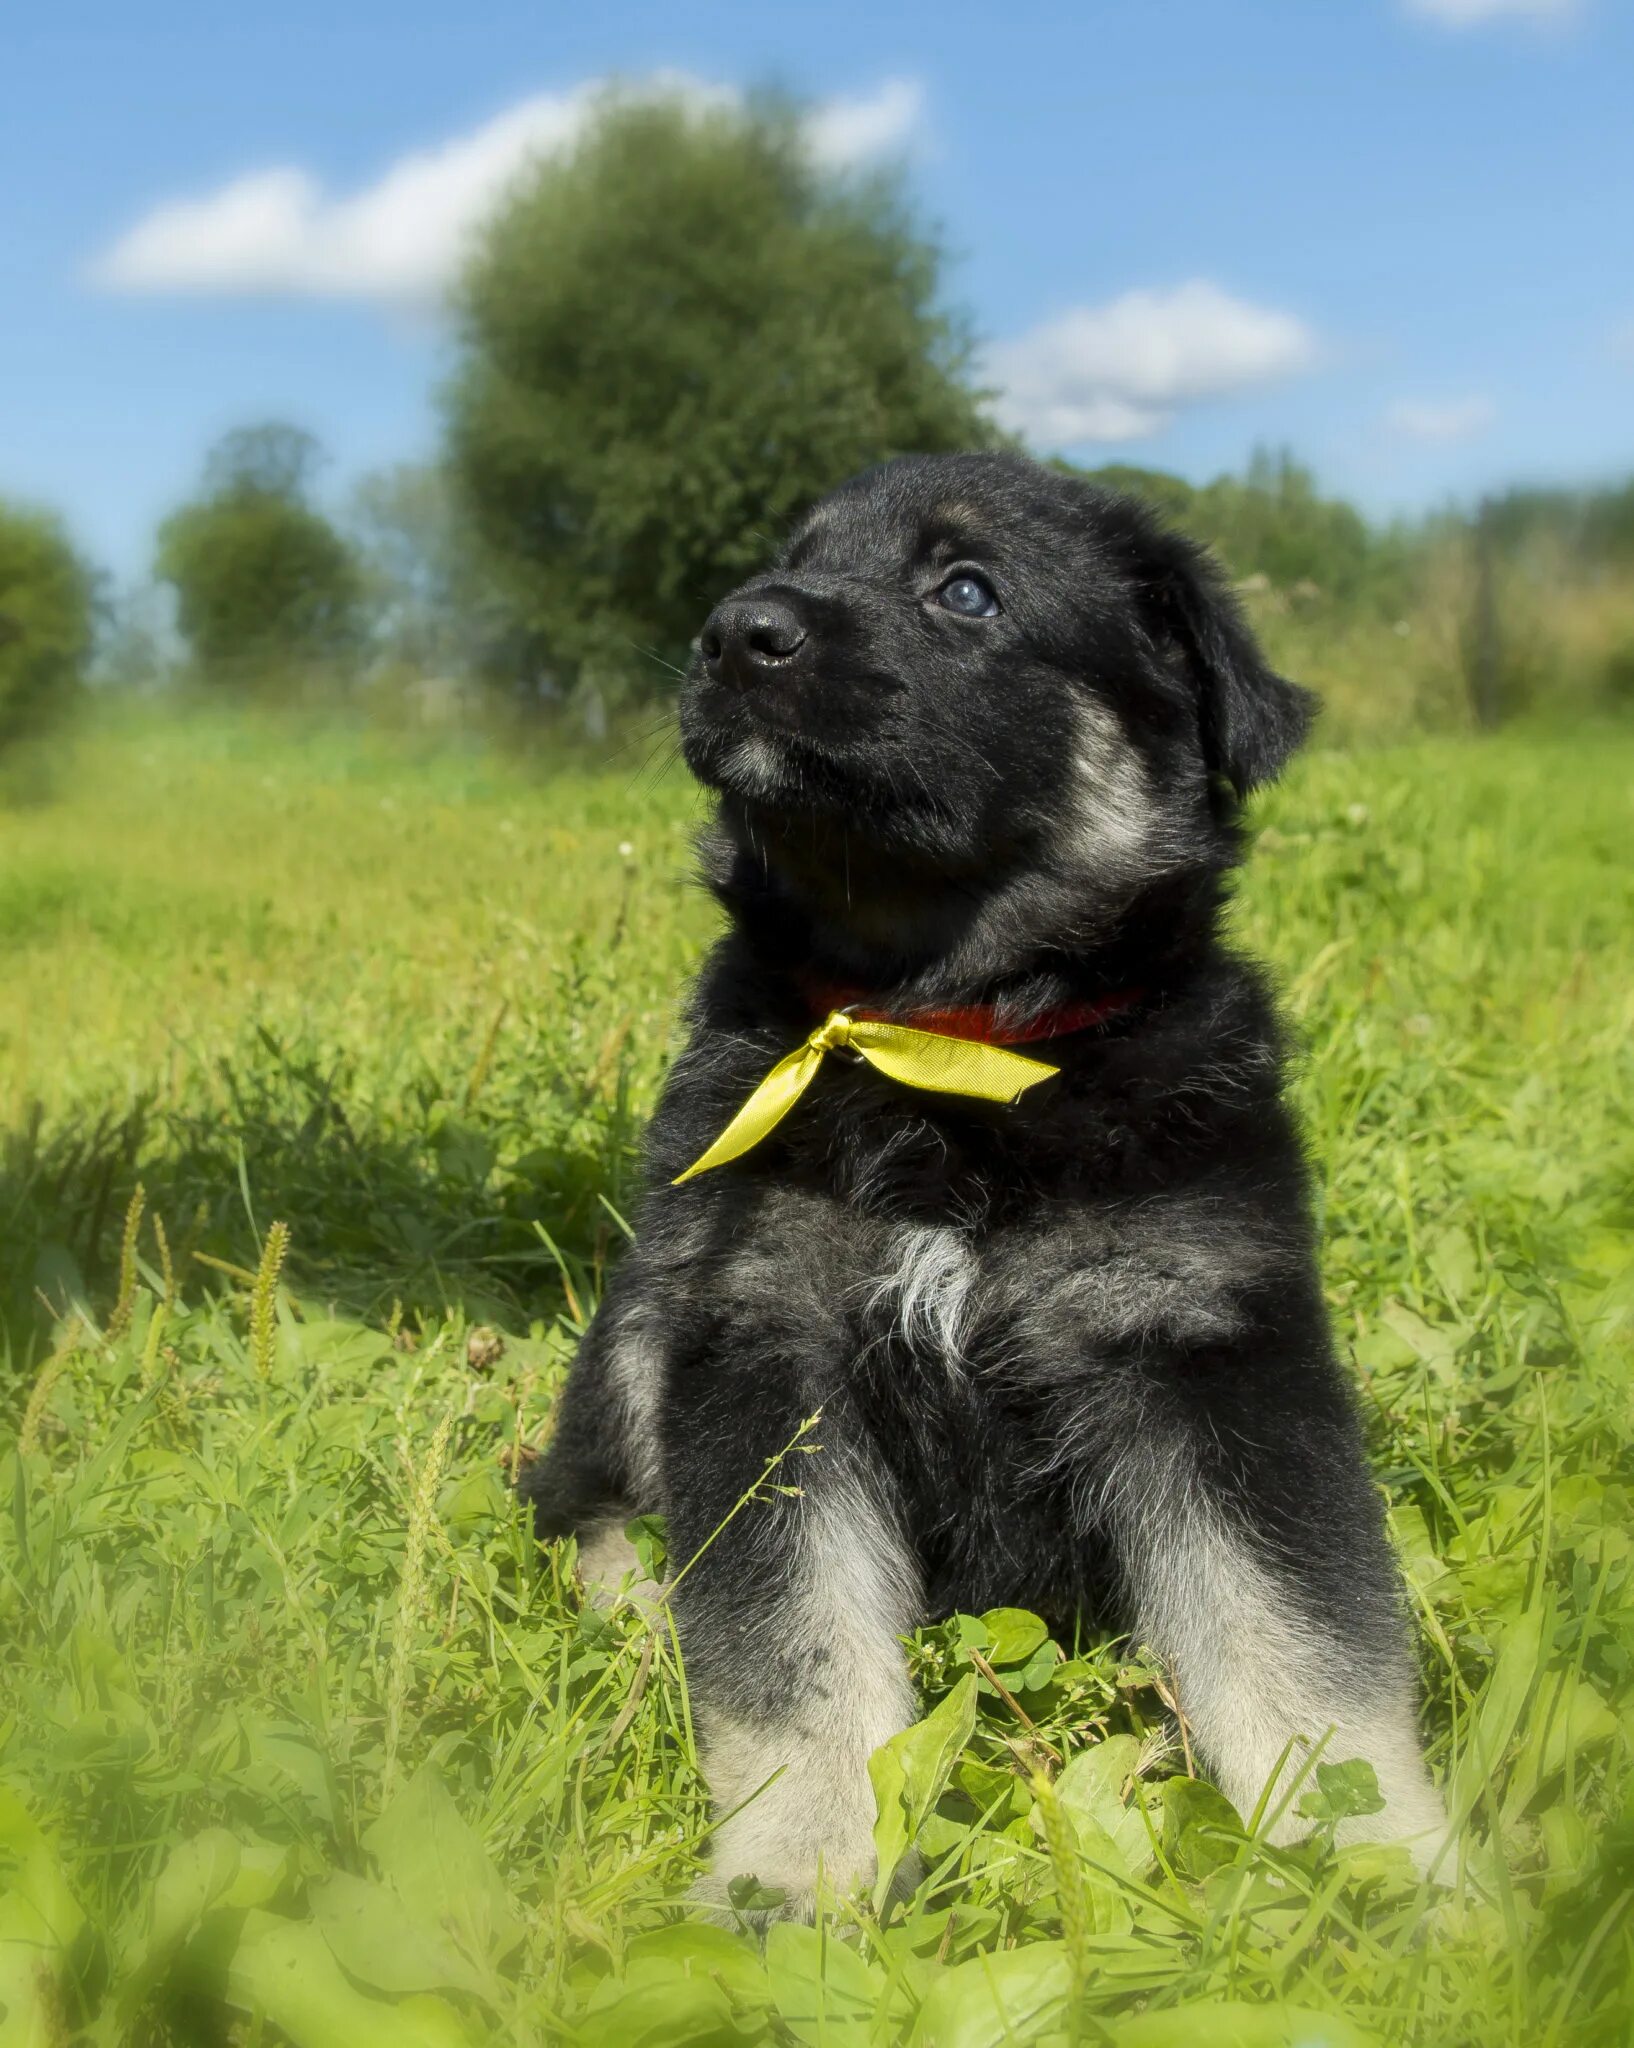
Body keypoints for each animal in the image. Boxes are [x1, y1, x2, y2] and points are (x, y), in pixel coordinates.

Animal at [522, 448, 1449, 1900]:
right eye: (790, 558)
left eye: (965, 591)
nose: (733, 631)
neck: (947, 1040)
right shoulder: (762, 1345)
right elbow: (793, 1653)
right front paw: (796, 1875)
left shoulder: (1209, 1345)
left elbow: (1300, 1637)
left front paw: (1380, 1872)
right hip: (646, 1307)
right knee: (587, 1499)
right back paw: (635, 1611)